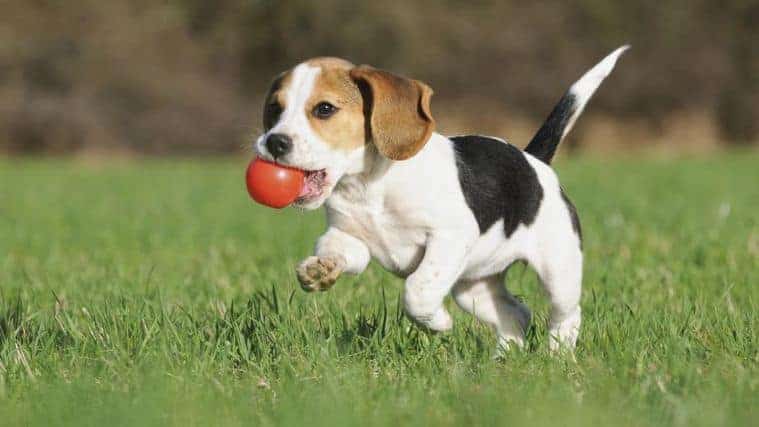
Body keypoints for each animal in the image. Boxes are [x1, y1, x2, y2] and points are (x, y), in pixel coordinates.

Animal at [255, 46, 628, 352]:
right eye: (274, 108)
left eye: (324, 109)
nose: (274, 142)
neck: (368, 186)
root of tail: (533, 160)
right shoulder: (350, 239)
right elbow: (335, 249)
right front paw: (319, 270)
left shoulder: (450, 236)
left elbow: (417, 290)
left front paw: (438, 323)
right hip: (473, 288)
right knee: (516, 314)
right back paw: (504, 361)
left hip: (558, 270)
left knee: (566, 314)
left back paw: (558, 356)